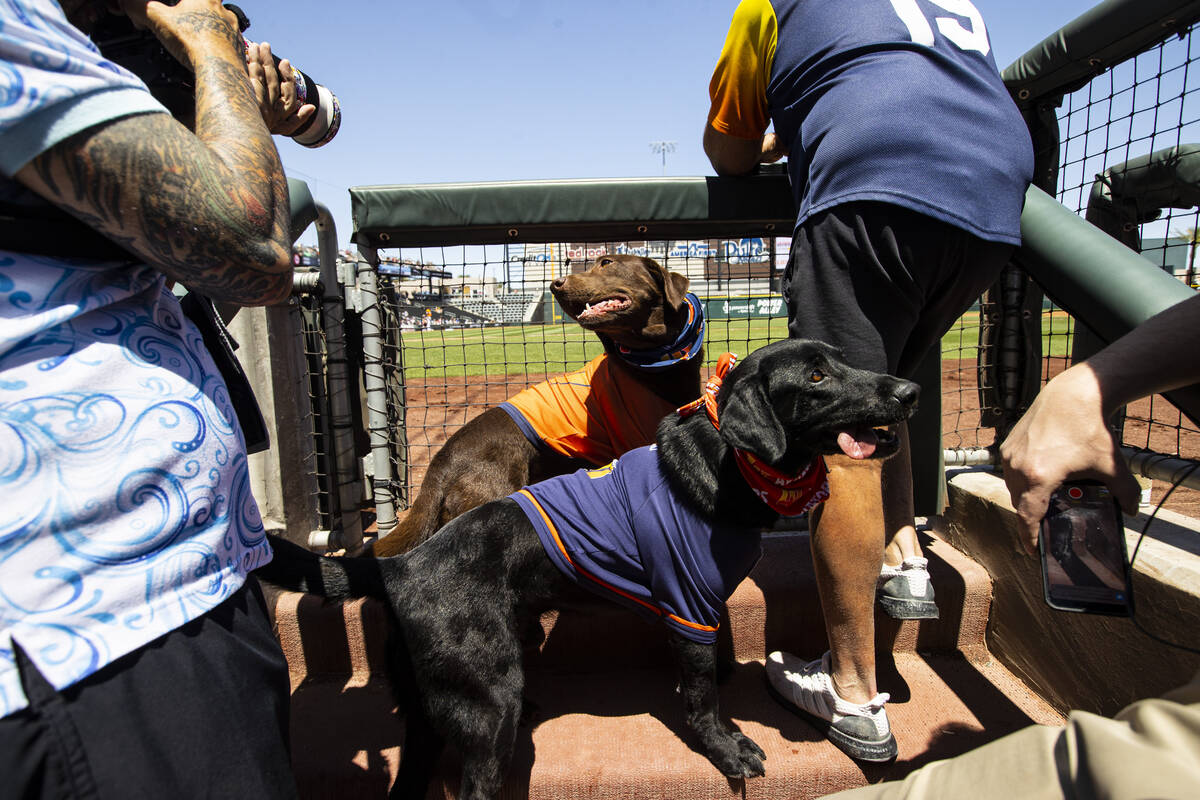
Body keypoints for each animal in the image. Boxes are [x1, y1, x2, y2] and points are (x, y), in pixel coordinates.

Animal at [260, 340, 916, 800]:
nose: (909, 390)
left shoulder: (703, 607)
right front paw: (726, 749)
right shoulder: (689, 602)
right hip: (488, 707)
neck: (732, 466)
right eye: (816, 377)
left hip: (427, 716)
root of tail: (402, 567)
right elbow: (701, 696)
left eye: (839, 360)